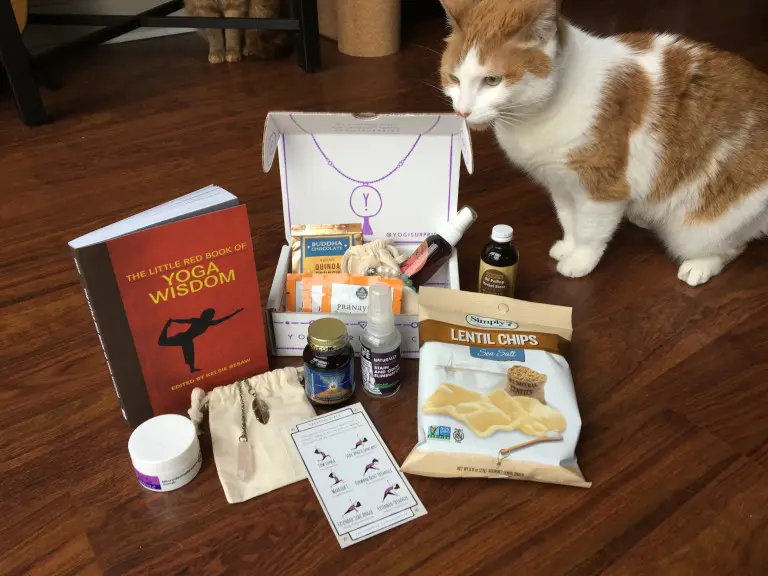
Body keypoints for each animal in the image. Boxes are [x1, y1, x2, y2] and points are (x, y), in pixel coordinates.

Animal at [438, 0, 768, 286]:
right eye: (453, 78)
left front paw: (579, 261)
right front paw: (567, 246)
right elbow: (569, 220)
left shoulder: (603, 190)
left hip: (698, 228)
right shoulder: (560, 183)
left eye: (492, 81)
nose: (462, 111)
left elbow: (590, 231)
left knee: (731, 246)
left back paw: (699, 266)